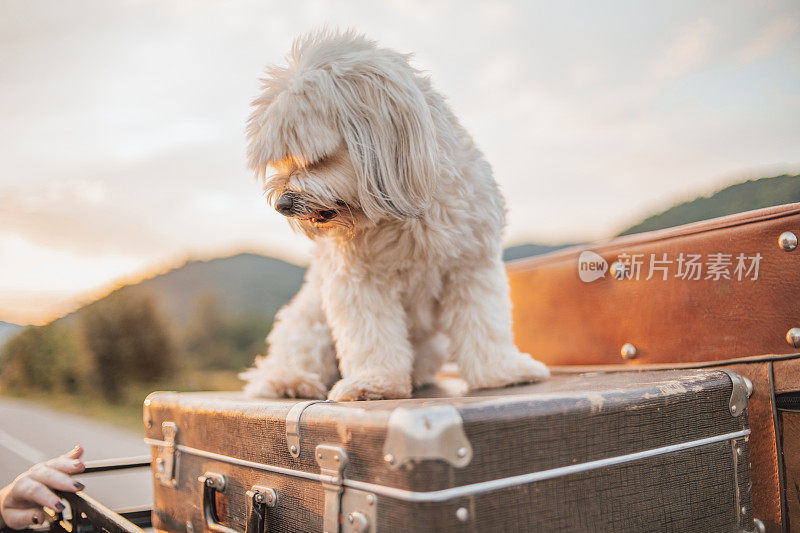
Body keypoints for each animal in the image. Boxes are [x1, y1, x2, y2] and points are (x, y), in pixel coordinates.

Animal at [239, 30, 552, 400]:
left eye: (316, 159)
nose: (282, 204)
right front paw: (376, 382)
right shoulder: (359, 280)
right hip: (308, 323)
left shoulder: (472, 266)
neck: (403, 219)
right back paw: (290, 381)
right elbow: (373, 336)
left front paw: (501, 372)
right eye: (283, 161)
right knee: (286, 360)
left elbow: (484, 324)